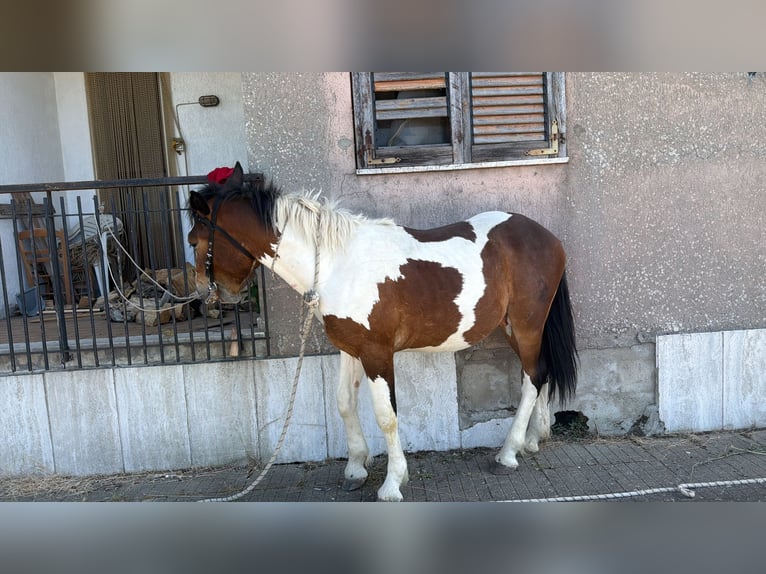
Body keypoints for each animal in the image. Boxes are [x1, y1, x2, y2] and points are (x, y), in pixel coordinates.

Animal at [187, 162, 577, 502]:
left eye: (193, 240)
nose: (206, 294)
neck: (336, 265)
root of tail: (550, 238)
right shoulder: (350, 348)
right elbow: (344, 404)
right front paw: (356, 469)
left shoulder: (377, 353)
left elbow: (386, 416)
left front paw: (392, 483)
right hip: (517, 328)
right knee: (540, 373)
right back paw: (533, 439)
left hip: (525, 325)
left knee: (532, 378)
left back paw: (508, 453)